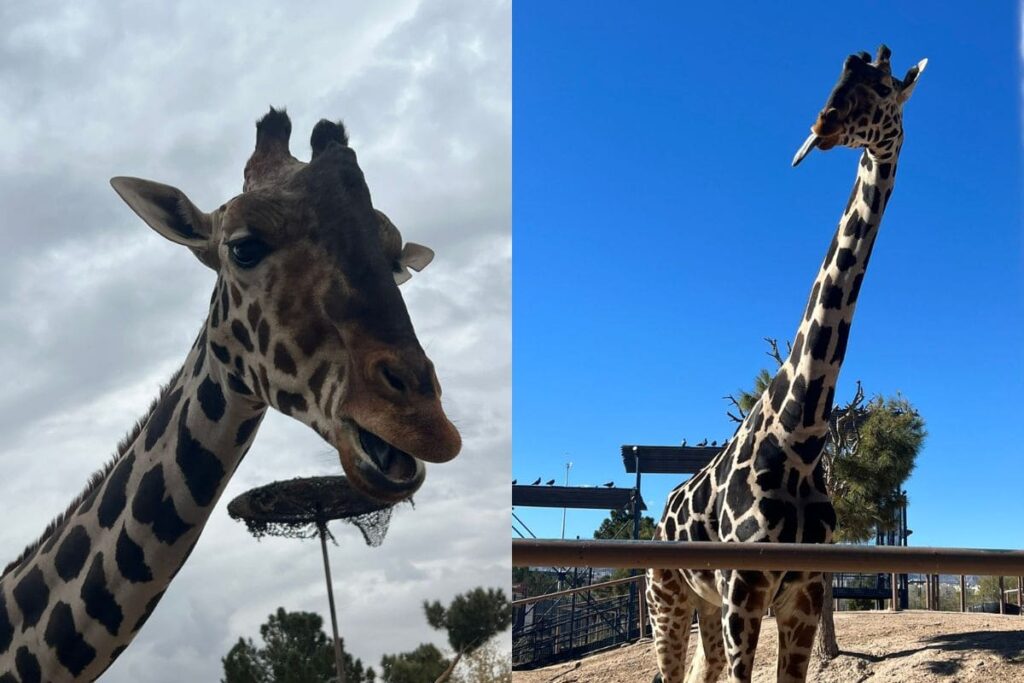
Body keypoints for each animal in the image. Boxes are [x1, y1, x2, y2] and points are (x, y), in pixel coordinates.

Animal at [645, 46, 925, 683]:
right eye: (839, 75)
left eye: (881, 89)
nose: (821, 126)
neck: (801, 436)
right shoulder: (744, 593)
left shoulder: (802, 594)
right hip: (667, 597)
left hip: (702, 604)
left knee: (702, 669)